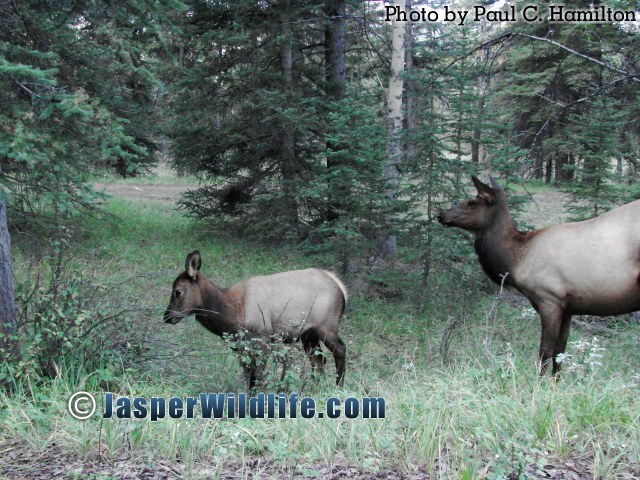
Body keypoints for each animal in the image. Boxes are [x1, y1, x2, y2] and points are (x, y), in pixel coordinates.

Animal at [162, 253, 348, 388]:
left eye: (178, 291)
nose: (167, 316)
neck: (233, 313)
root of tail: (341, 286)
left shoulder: (262, 337)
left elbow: (256, 376)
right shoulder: (240, 346)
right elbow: (248, 374)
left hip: (326, 325)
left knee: (339, 349)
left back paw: (338, 386)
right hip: (308, 334)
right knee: (318, 359)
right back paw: (317, 388)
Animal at [438, 176, 640, 376]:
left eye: (471, 202)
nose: (441, 214)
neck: (516, 260)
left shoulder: (550, 299)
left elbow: (545, 351)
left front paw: (539, 381)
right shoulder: (568, 307)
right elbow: (560, 351)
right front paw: (555, 381)